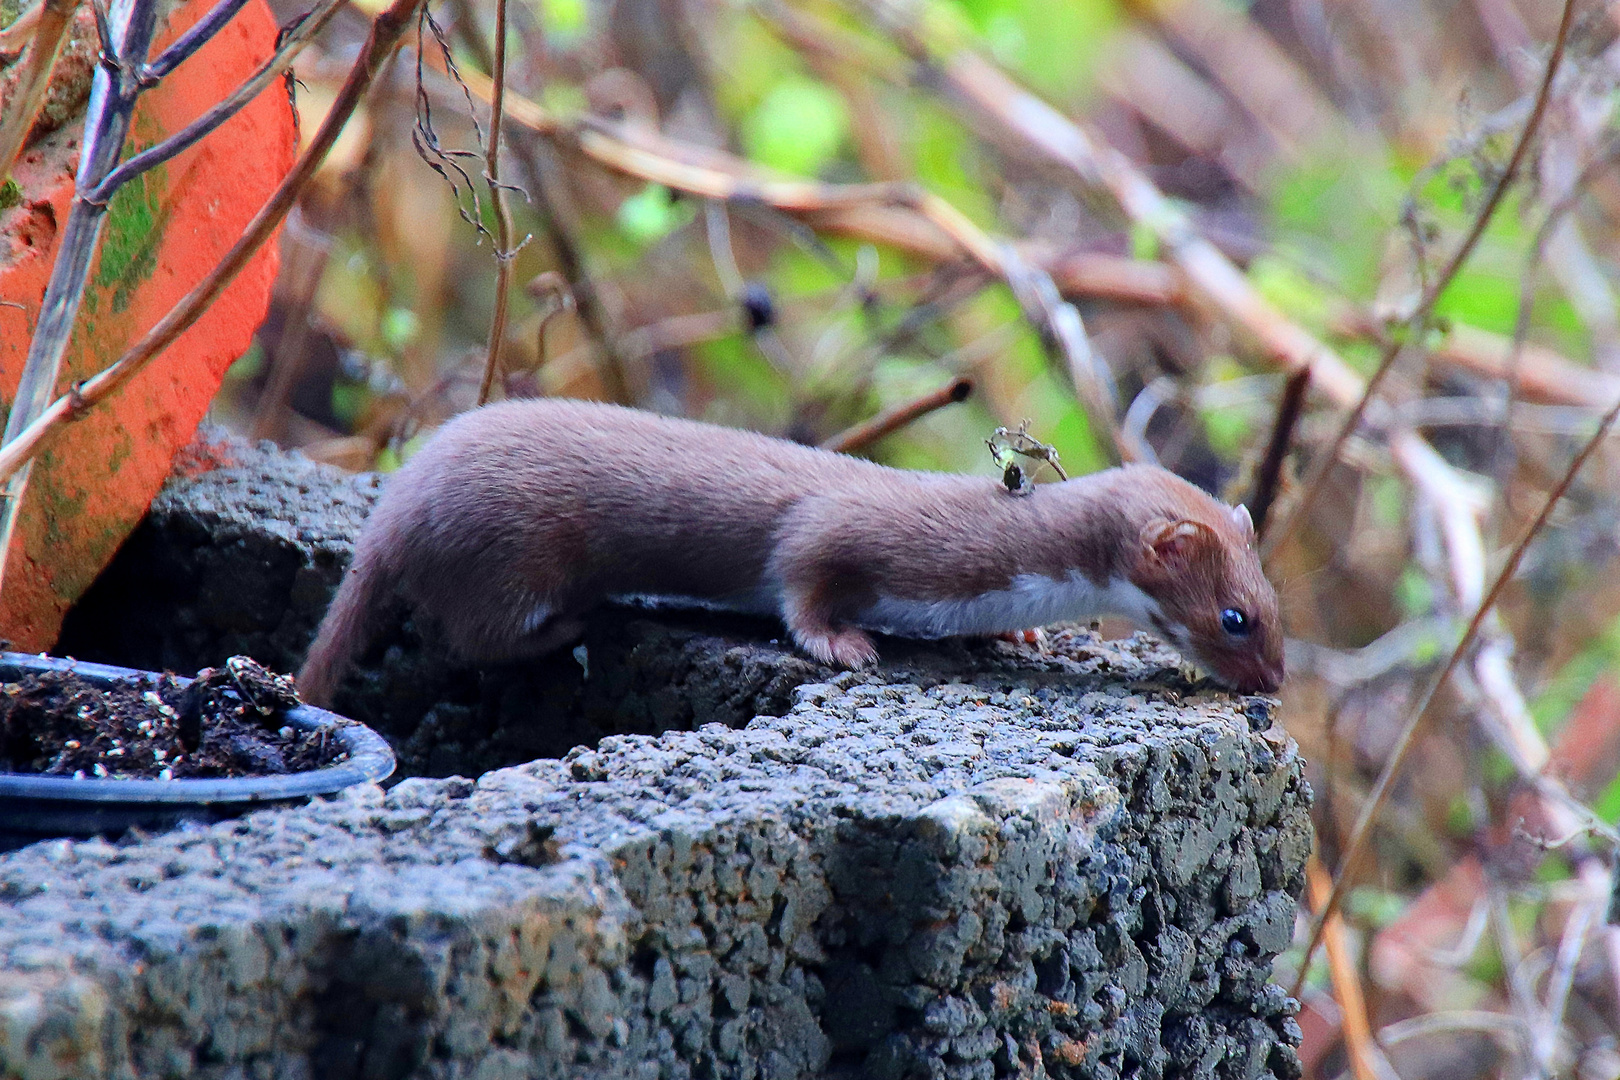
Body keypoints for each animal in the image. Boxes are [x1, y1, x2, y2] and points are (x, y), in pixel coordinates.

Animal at [298, 401, 1283, 705]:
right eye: (1234, 618)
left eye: (1277, 608)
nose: (1273, 684)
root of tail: (399, 498)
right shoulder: (847, 527)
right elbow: (800, 568)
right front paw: (843, 643)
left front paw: (1019, 637)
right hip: (513, 553)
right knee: (476, 634)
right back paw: (572, 623)